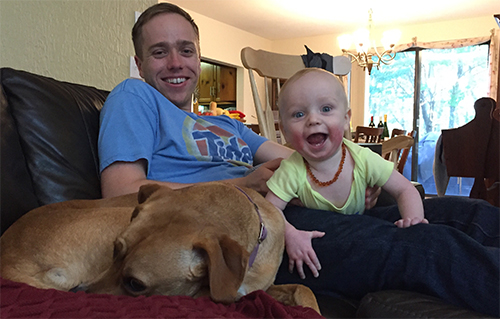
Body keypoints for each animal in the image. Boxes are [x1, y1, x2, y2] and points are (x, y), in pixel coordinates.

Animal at [0, 182, 320, 312]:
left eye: (135, 284)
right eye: (114, 251)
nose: (80, 294)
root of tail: (8, 257)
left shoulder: (261, 288)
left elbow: (304, 290)